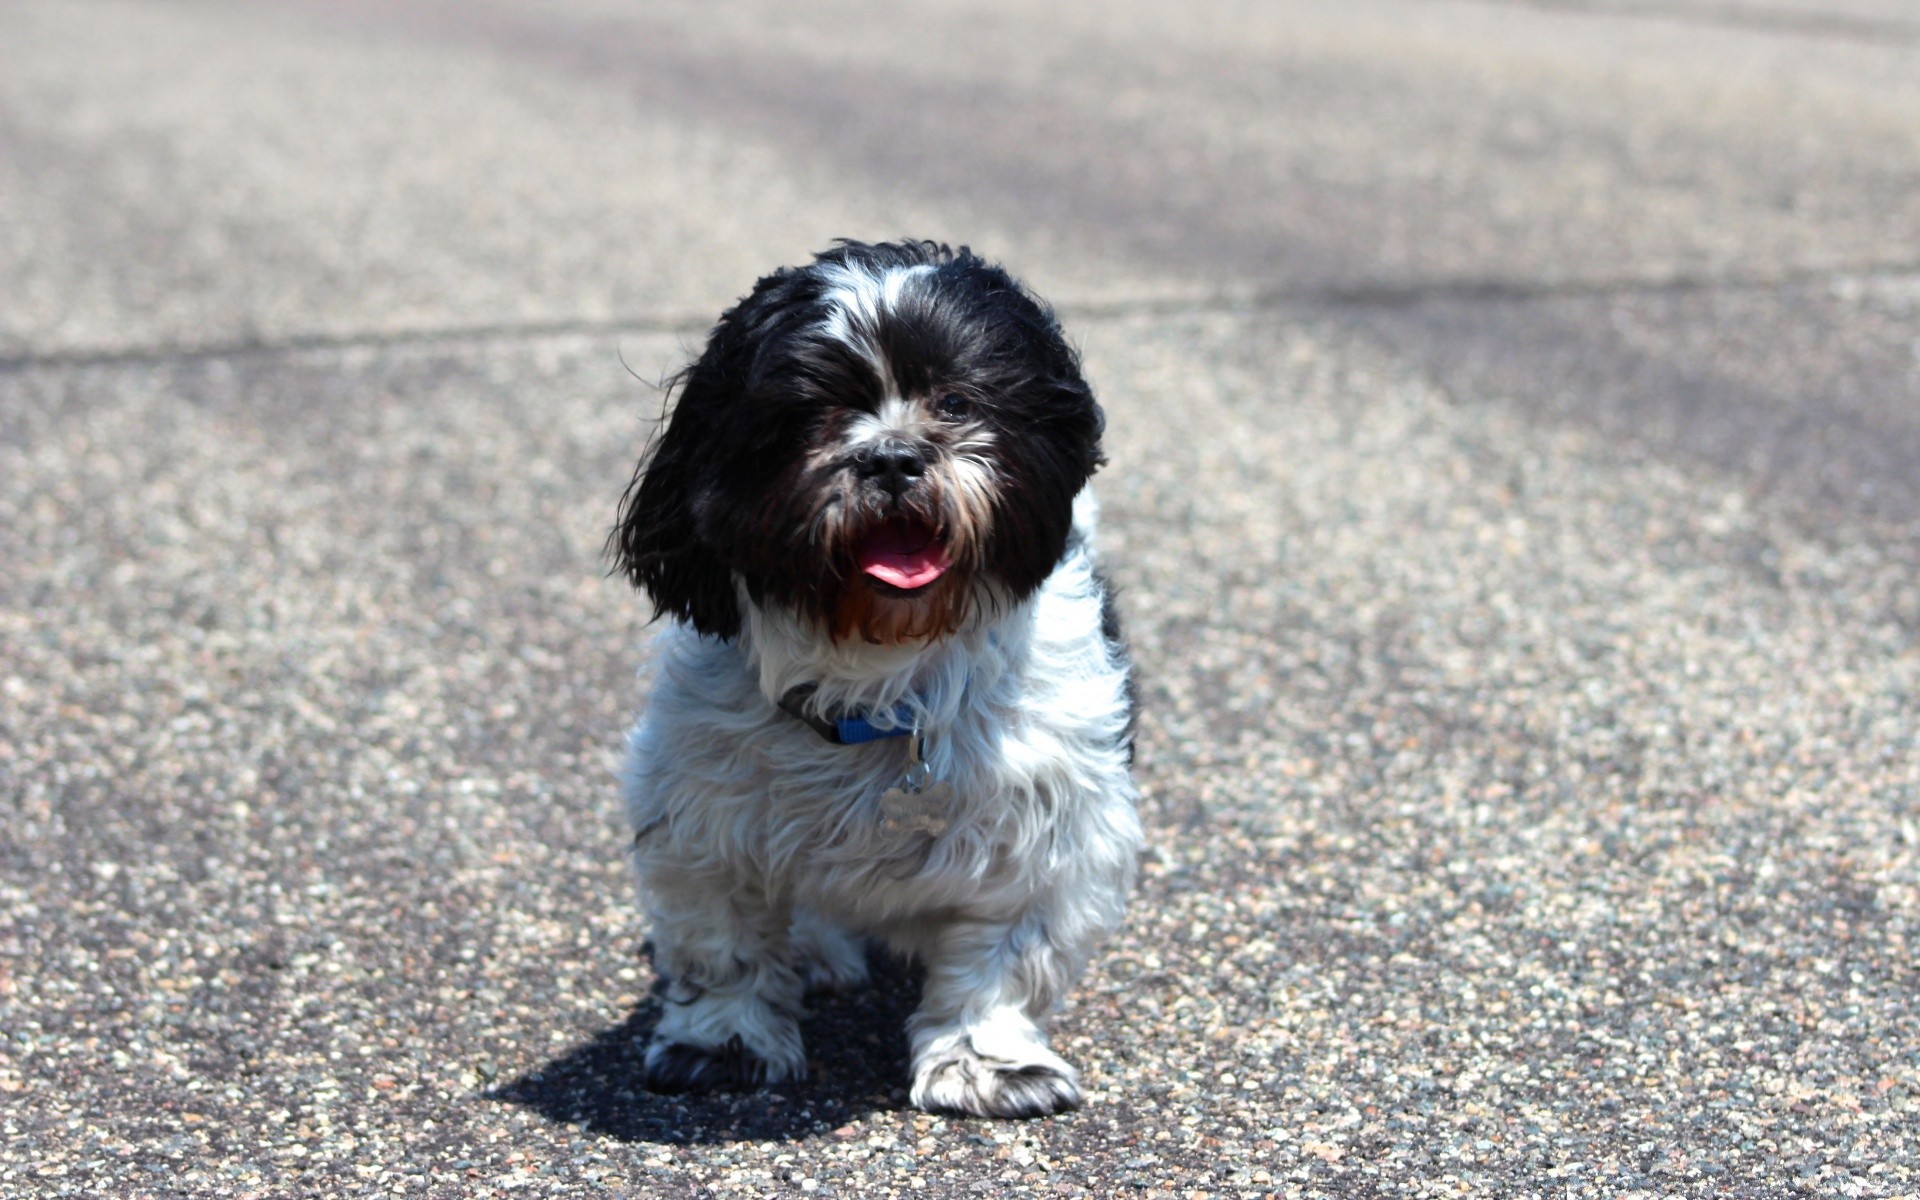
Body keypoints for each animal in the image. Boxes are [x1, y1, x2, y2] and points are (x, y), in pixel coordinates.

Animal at [610, 239, 1136, 1121]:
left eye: (955, 402)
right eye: (808, 414)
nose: (891, 454)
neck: (884, 684)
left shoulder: (1046, 823)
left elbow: (1005, 957)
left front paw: (988, 1064)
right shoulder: (700, 817)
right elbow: (724, 943)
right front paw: (725, 1045)